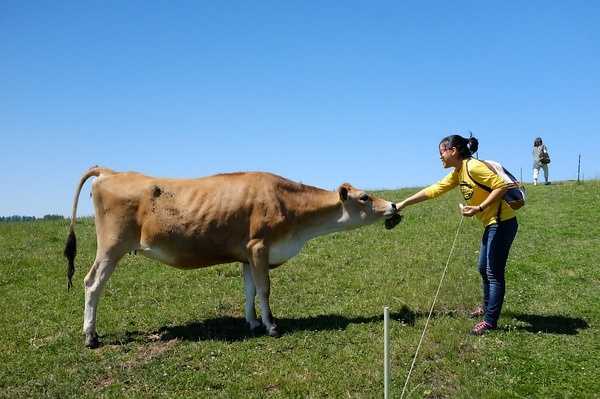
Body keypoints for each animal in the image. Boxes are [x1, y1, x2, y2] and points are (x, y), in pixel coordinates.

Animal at [63, 166, 400, 346]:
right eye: (364, 197)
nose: (394, 206)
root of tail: (111, 171)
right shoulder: (260, 247)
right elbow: (264, 289)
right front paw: (271, 326)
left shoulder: (246, 255)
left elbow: (249, 291)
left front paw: (253, 323)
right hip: (111, 247)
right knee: (92, 283)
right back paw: (91, 336)